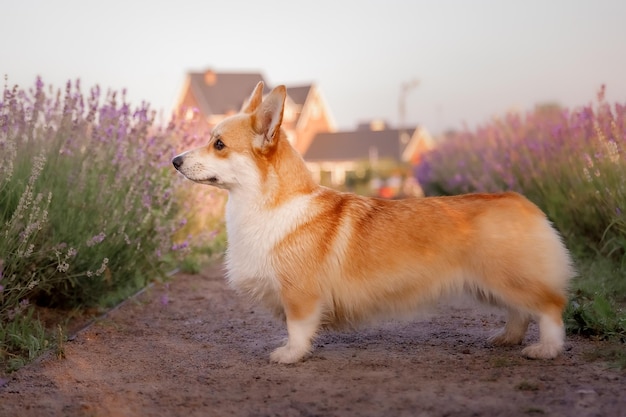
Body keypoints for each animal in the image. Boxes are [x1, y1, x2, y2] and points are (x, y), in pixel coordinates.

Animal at [173, 81, 572, 360]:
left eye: (219, 144)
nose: (174, 160)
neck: (265, 204)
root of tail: (523, 202)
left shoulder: (300, 295)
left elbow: (297, 329)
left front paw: (290, 355)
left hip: (509, 278)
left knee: (550, 309)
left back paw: (545, 349)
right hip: (494, 283)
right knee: (520, 313)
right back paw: (507, 338)